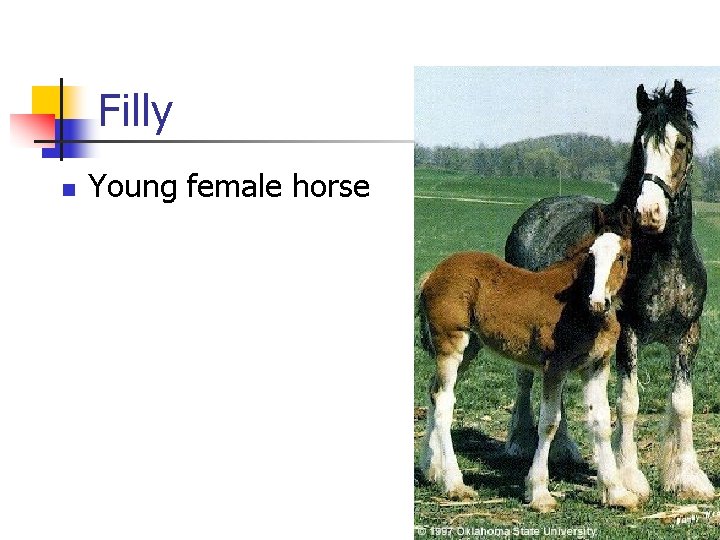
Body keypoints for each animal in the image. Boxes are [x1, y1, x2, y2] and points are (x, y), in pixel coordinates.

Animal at [418, 205, 637, 511]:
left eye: (622, 257)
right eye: (591, 256)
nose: (597, 302)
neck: (578, 305)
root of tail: (433, 273)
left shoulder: (597, 365)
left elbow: (601, 422)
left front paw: (616, 492)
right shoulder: (555, 366)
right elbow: (549, 423)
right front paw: (539, 492)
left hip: (470, 348)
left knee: (433, 392)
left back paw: (430, 469)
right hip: (451, 345)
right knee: (444, 402)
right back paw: (454, 484)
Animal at [504, 80, 714, 501]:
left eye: (681, 143)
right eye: (640, 144)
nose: (649, 214)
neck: (663, 259)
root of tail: (535, 213)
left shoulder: (688, 334)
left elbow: (683, 403)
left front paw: (688, 477)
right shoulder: (627, 334)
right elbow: (629, 402)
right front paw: (630, 475)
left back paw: (565, 449)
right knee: (524, 377)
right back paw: (519, 442)